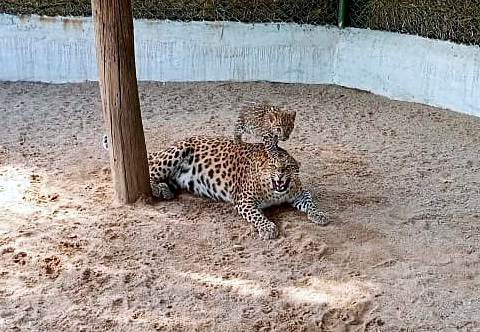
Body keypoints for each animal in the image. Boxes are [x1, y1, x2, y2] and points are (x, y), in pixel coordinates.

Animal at [148, 136, 328, 239]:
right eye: (273, 165)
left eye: (289, 167)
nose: (280, 174)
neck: (276, 192)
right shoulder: (244, 200)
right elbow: (257, 215)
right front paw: (268, 227)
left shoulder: (299, 192)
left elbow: (310, 202)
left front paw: (319, 214)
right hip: (176, 152)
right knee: (150, 171)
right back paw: (158, 189)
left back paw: (165, 189)